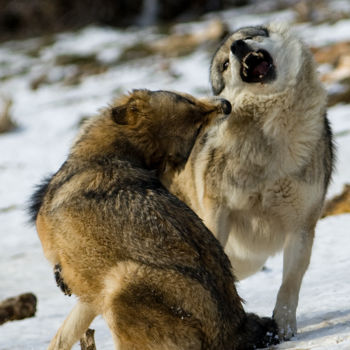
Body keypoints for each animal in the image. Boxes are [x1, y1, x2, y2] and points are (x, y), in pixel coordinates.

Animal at [28, 90, 278, 350]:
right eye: (189, 103)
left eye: (197, 127)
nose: (227, 105)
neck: (109, 156)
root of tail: (235, 332)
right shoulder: (91, 294)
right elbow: (62, 336)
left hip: (123, 280)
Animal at [163, 23, 334, 340]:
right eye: (224, 65)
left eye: (249, 37)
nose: (237, 47)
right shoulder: (219, 212)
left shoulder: (301, 227)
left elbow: (290, 284)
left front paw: (284, 328)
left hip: (249, 260)